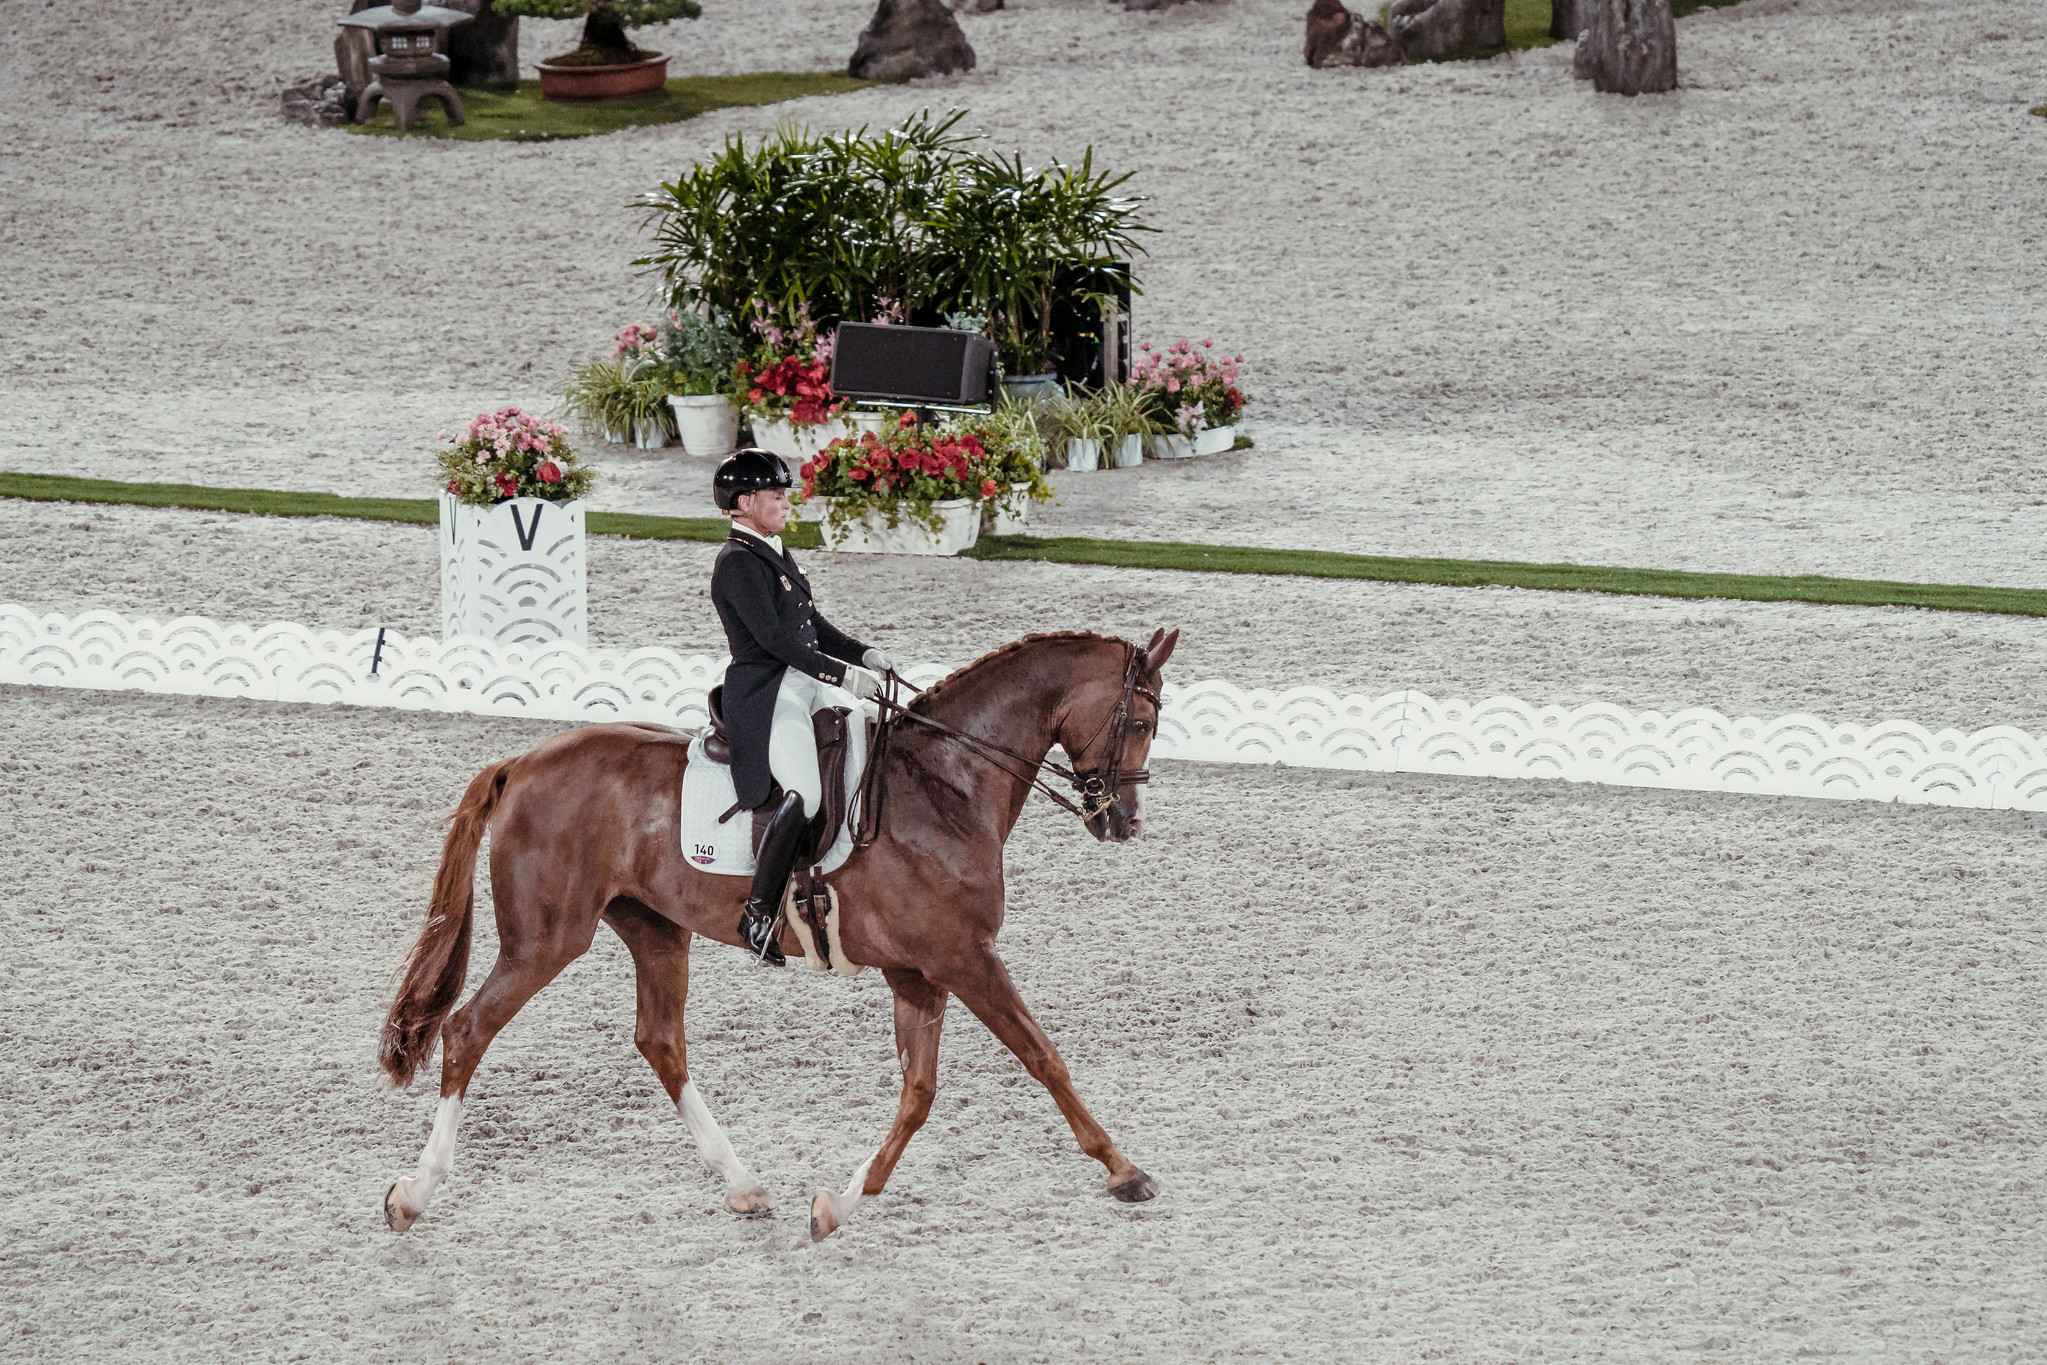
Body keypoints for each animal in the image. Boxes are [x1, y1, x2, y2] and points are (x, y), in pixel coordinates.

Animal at [376, 627, 1180, 1241]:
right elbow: (1043, 1057)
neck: (945, 784)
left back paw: (742, 1183)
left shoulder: (918, 971)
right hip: (545, 940)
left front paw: (840, 1202)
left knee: (660, 1041)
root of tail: (520, 764)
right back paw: (414, 1193)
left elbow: (918, 1093)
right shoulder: (964, 958)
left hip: (655, 929)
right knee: (467, 1030)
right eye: (1140, 723)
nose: (1123, 821)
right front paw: (1125, 1170)